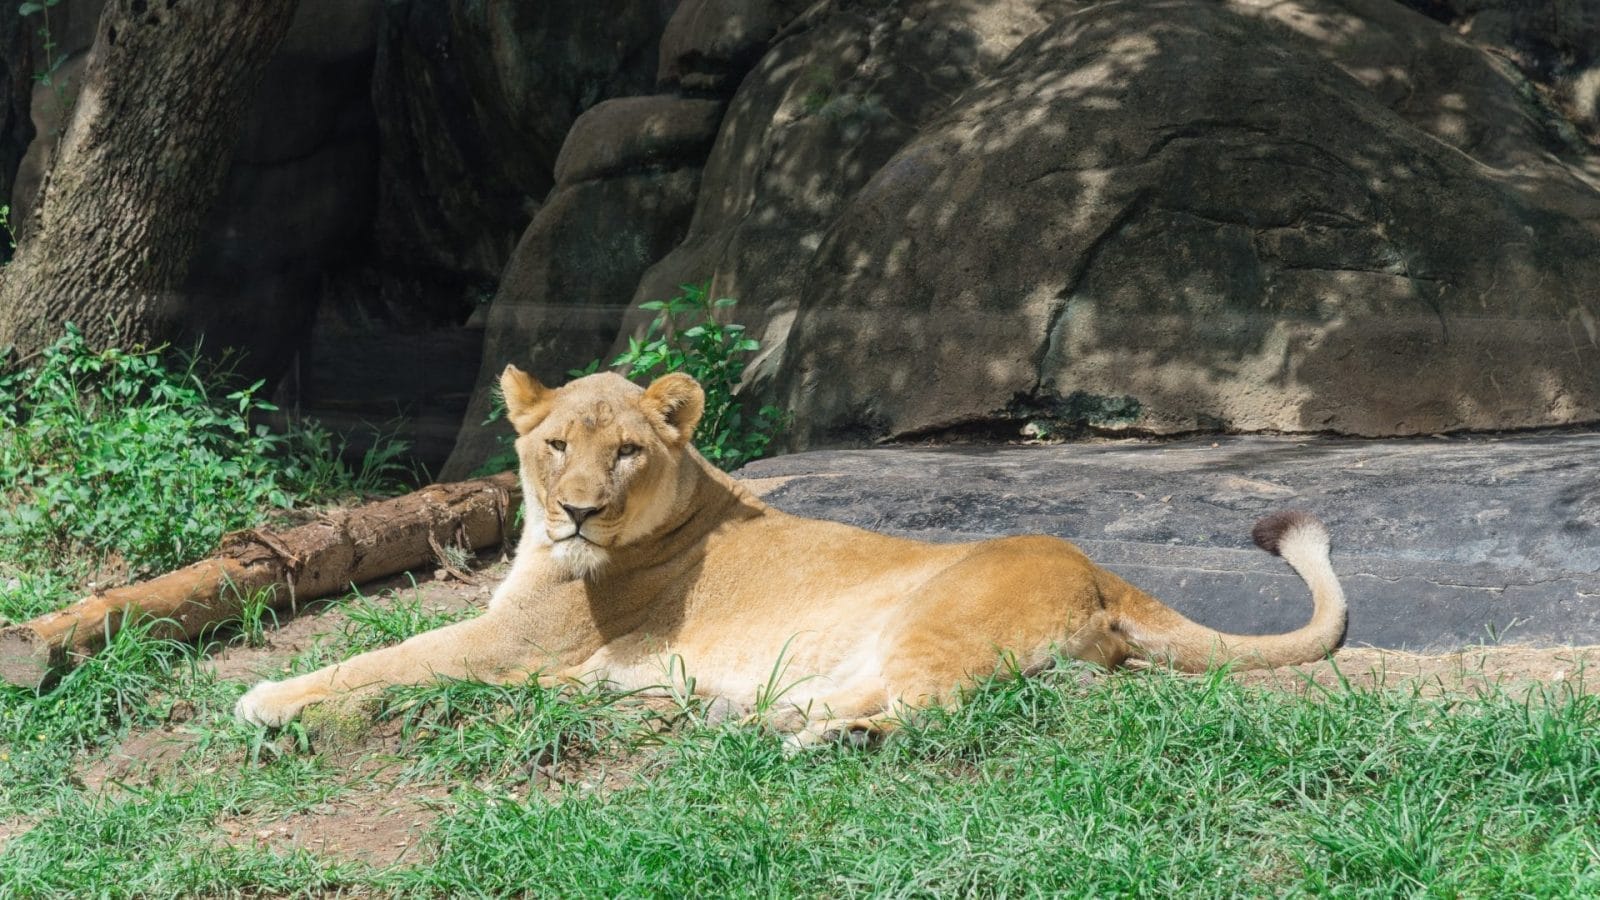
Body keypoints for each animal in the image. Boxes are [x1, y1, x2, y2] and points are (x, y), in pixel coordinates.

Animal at [235, 367, 1347, 746]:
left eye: (625, 450)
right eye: (555, 444)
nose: (579, 514)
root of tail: (1100, 571)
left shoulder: (516, 645)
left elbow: (385, 658)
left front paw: (267, 698)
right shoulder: (519, 645)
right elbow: (397, 658)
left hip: (935, 625)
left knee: (933, 709)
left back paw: (815, 741)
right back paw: (745, 717)